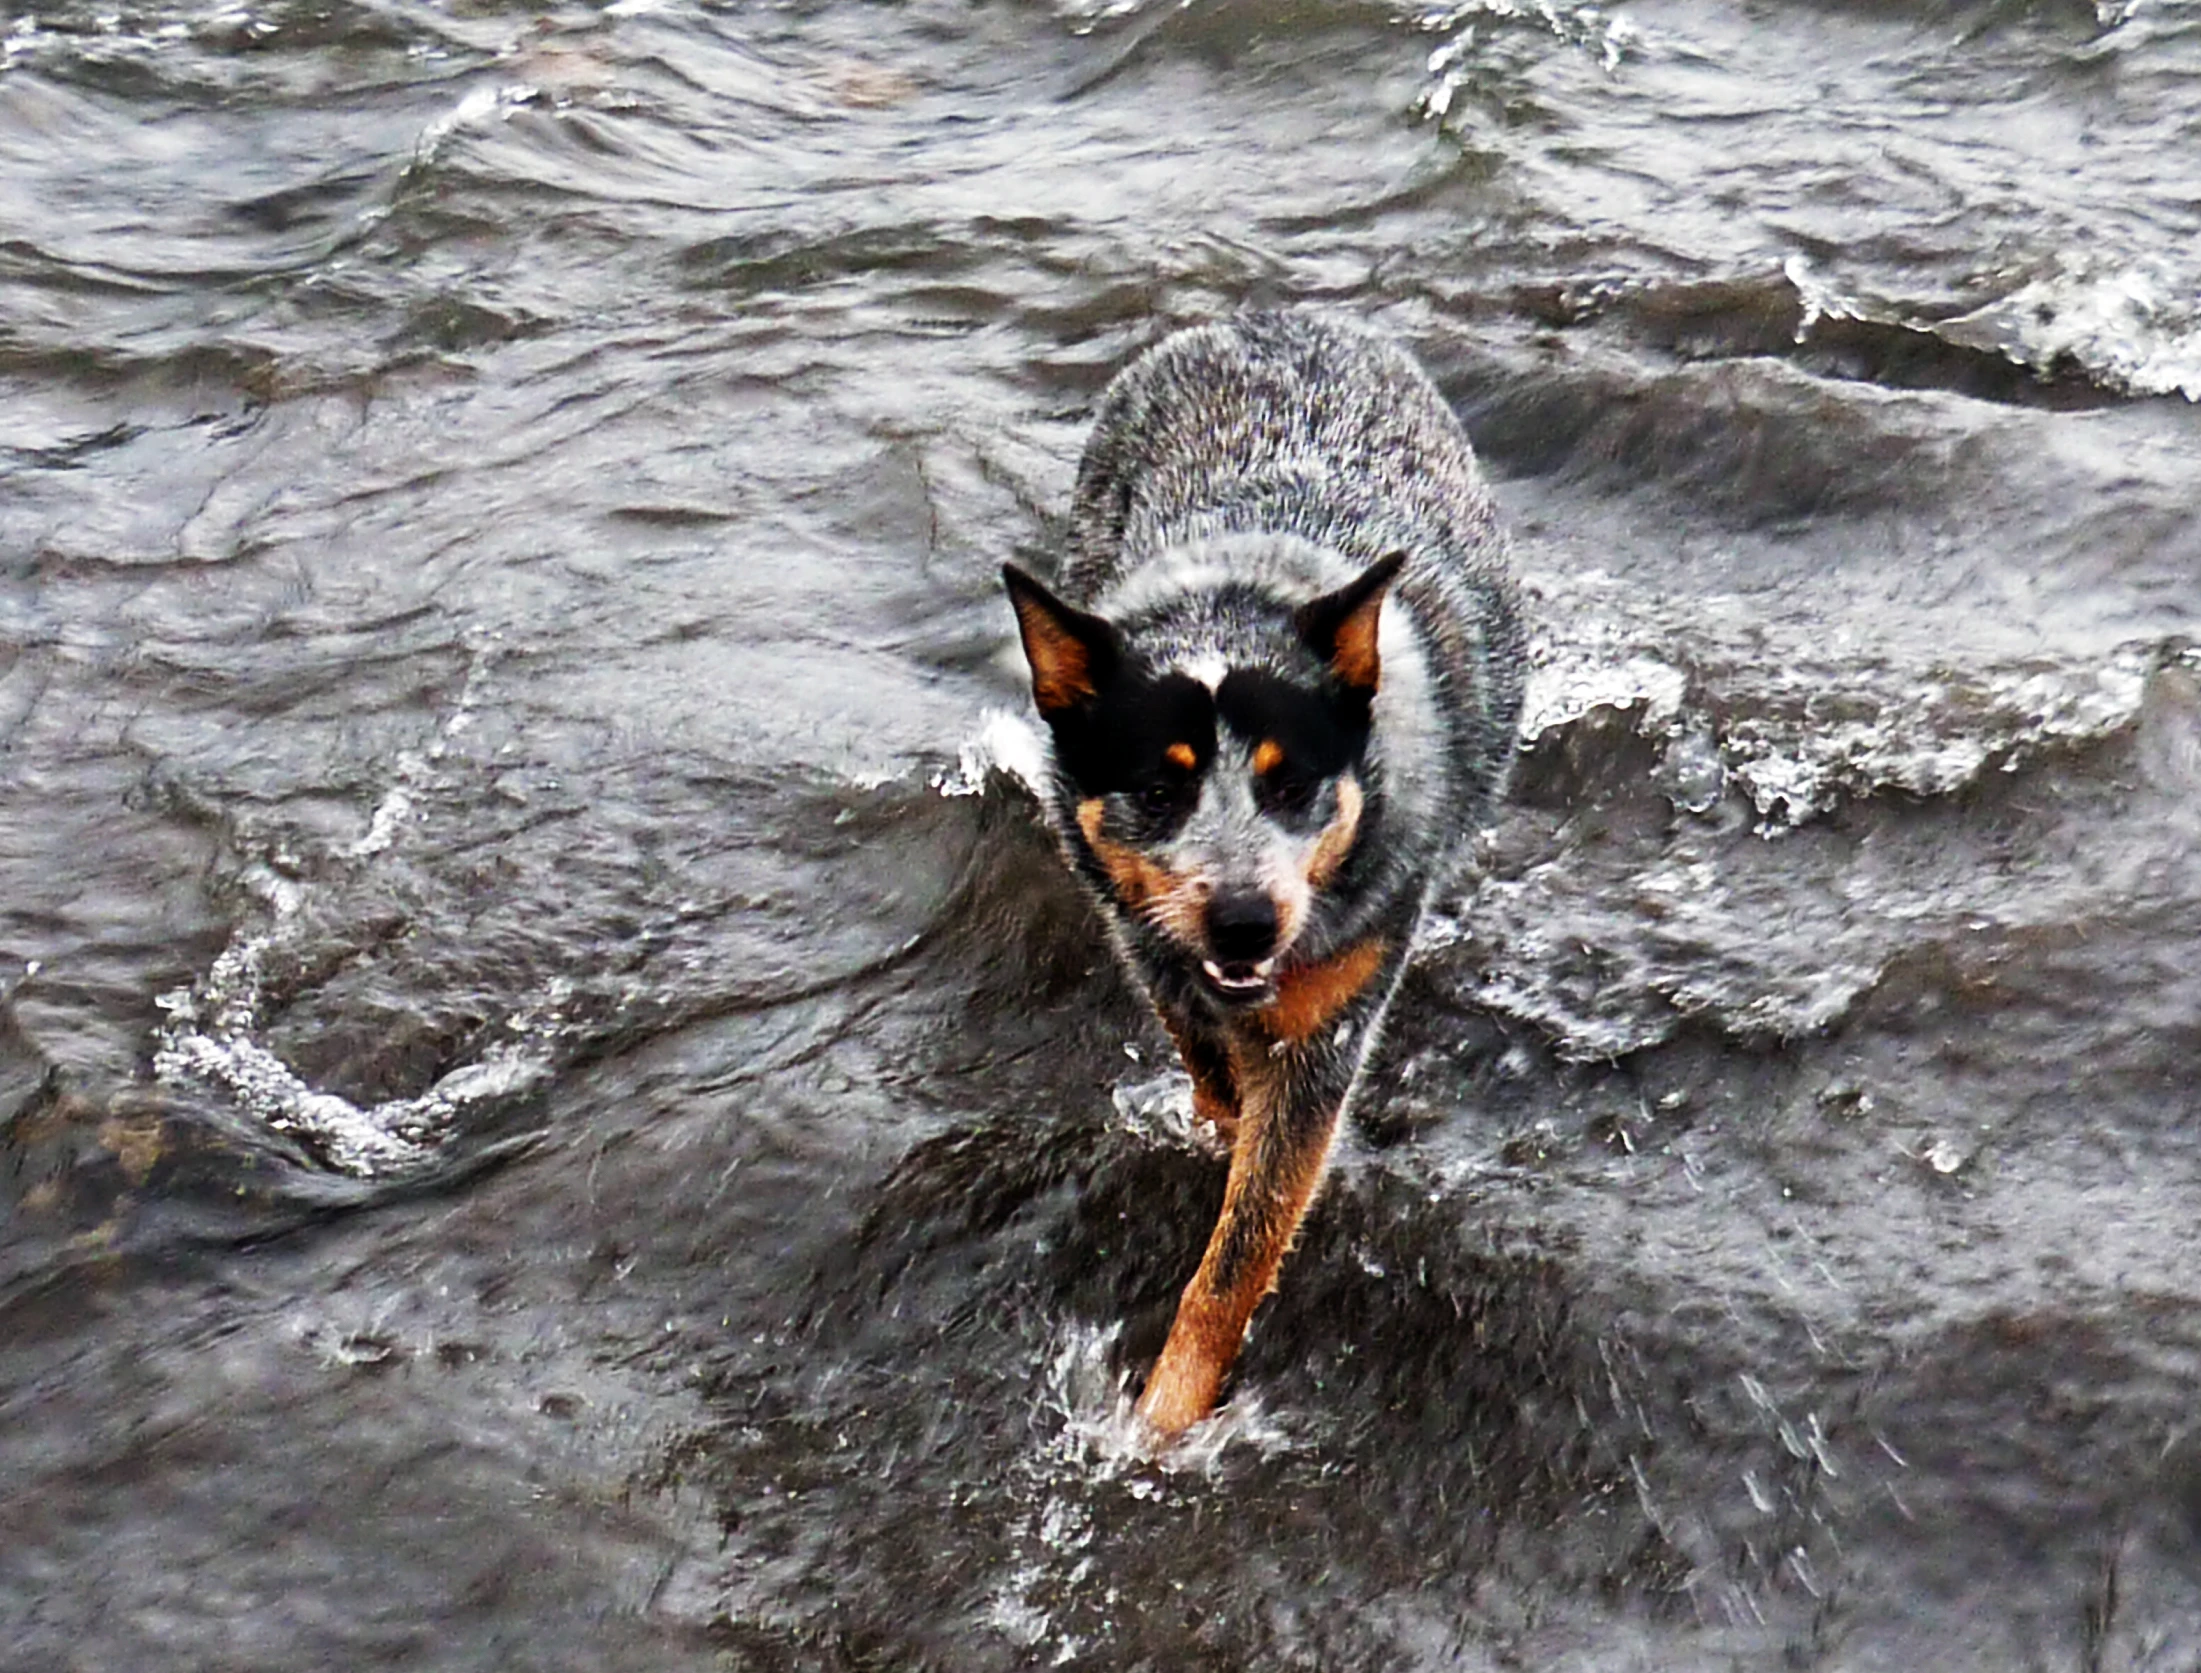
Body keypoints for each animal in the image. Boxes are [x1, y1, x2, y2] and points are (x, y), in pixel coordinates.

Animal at [1008, 310, 1523, 1435]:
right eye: (1160, 786)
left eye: (1291, 783)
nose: (1246, 920)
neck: (1229, 598)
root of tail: (1270, 316)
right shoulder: (1150, 949)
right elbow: (1207, 1070)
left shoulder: (1325, 1017)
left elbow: (1242, 1243)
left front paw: (1163, 1424)